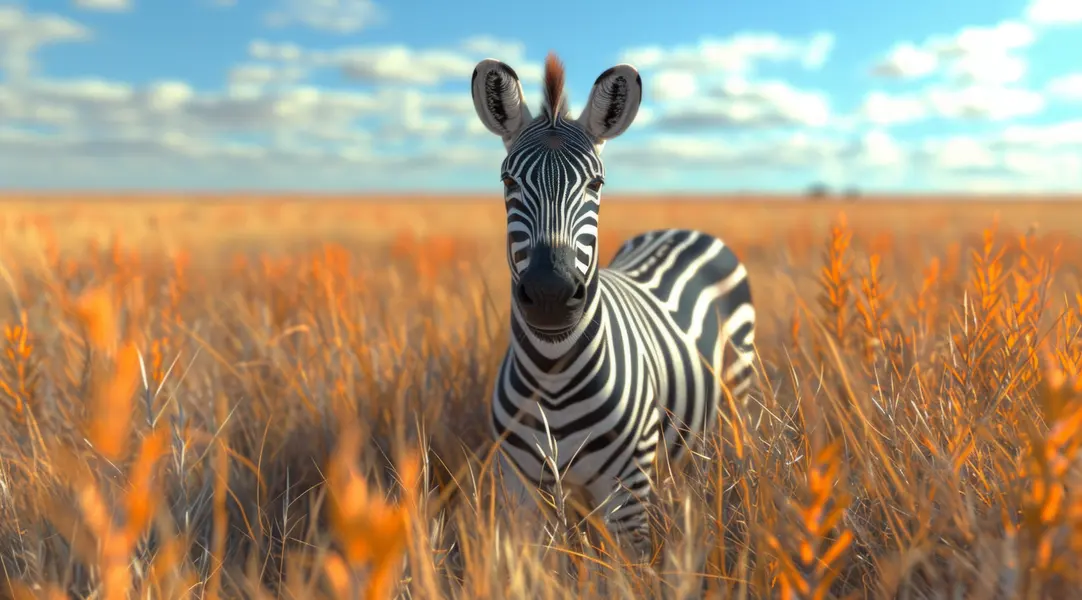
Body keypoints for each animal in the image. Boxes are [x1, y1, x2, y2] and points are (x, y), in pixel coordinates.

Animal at [470, 52, 757, 558]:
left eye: (596, 182)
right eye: (508, 179)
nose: (550, 294)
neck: (552, 375)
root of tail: (683, 229)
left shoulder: (628, 495)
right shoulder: (521, 491)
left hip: (735, 392)